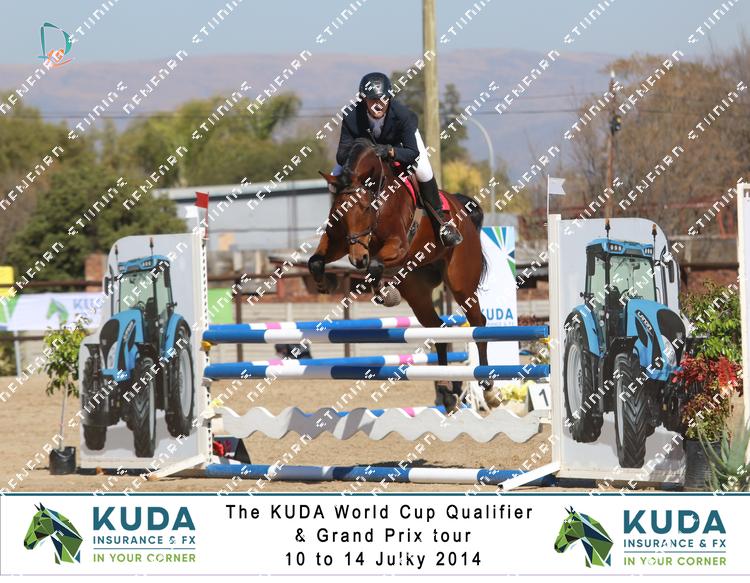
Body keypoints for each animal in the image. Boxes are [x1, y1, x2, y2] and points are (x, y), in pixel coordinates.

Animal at [308, 138, 496, 411]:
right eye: (338, 210)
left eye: (365, 208)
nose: (357, 259)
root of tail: (464, 212)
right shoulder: (339, 242)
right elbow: (315, 261)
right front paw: (324, 285)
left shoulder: (398, 245)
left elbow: (375, 265)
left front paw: (385, 293)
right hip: (417, 292)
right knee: (438, 328)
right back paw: (446, 390)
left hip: (461, 283)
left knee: (478, 322)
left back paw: (488, 387)